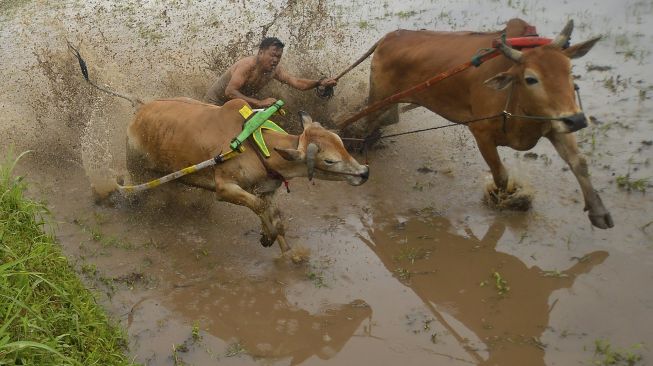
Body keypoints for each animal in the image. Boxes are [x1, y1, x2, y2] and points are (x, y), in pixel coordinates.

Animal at [125, 98, 370, 256]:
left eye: (341, 143)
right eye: (329, 160)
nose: (364, 172)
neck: (257, 145)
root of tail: (137, 116)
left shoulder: (266, 189)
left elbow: (275, 217)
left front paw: (289, 253)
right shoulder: (224, 189)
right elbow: (260, 208)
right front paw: (268, 236)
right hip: (137, 171)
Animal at [342, 19, 612, 229]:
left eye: (569, 70)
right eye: (531, 78)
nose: (578, 119)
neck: (514, 97)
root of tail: (389, 37)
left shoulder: (555, 124)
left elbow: (579, 162)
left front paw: (599, 212)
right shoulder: (480, 132)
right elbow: (501, 175)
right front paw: (505, 201)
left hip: (392, 102)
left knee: (385, 120)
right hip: (379, 97)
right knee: (360, 123)